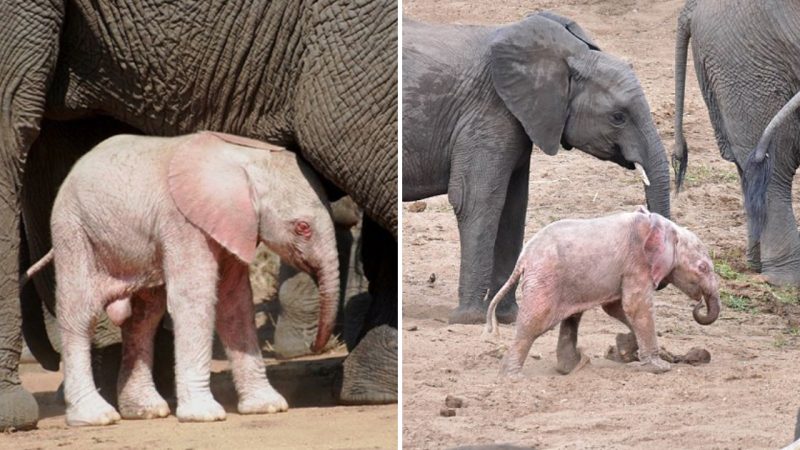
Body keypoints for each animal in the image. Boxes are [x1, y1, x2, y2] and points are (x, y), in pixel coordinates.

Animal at [23, 131, 340, 426]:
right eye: (302, 228)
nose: (315, 347)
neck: (245, 159)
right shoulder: (184, 224)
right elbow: (194, 300)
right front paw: (205, 415)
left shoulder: (233, 226)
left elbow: (234, 303)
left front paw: (268, 406)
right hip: (73, 229)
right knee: (80, 313)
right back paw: (96, 416)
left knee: (143, 316)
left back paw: (146, 410)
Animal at [484, 207, 720, 376]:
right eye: (703, 268)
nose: (699, 303)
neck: (662, 226)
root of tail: (523, 258)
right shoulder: (637, 264)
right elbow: (635, 307)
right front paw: (660, 367)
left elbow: (616, 308)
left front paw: (624, 348)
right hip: (545, 280)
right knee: (534, 322)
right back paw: (512, 376)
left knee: (571, 317)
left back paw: (575, 366)